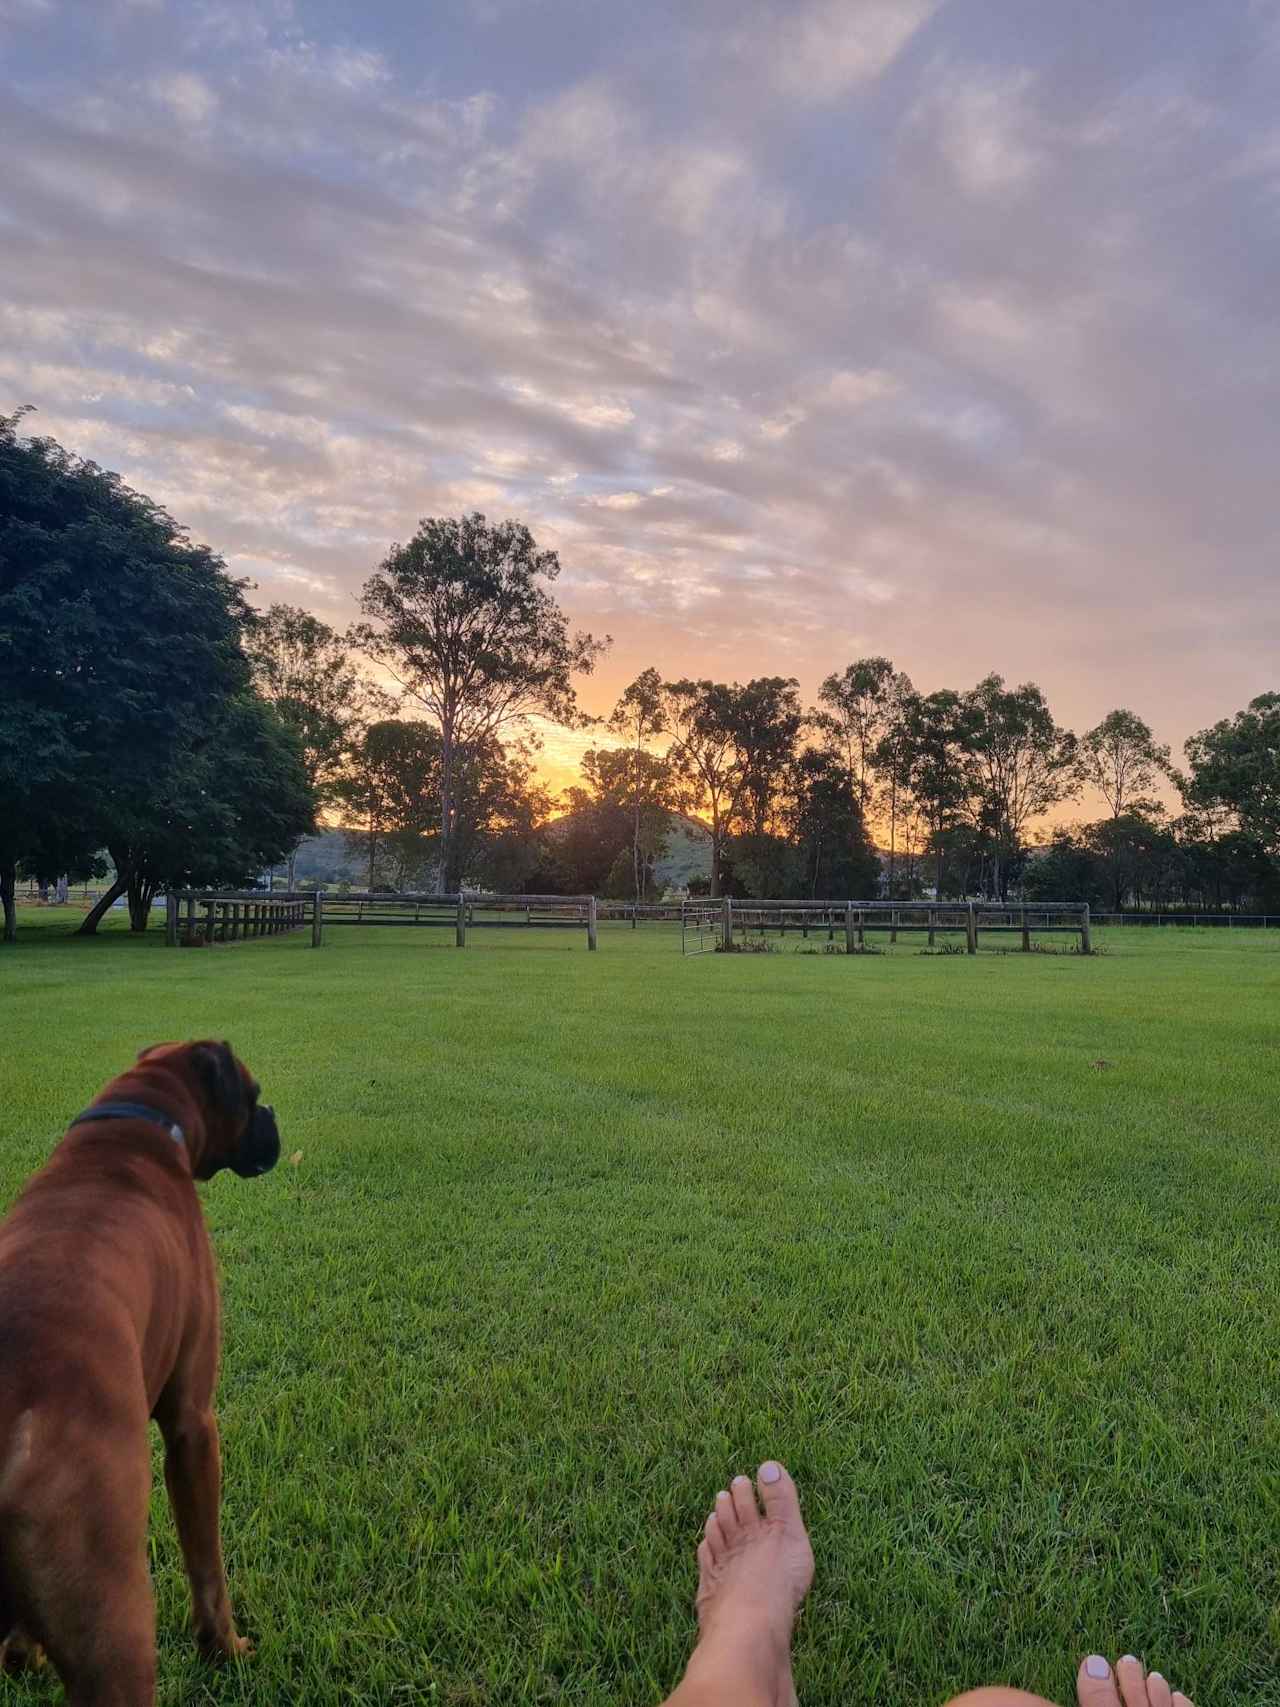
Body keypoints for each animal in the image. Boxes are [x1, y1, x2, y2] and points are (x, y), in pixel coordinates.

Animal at [0, 1044, 279, 1700]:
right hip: (114, 1623)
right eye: (253, 1095)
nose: (274, 1116)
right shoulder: (192, 1423)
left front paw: (26, 1651)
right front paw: (224, 1649)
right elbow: (207, 1565)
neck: (137, 1119)